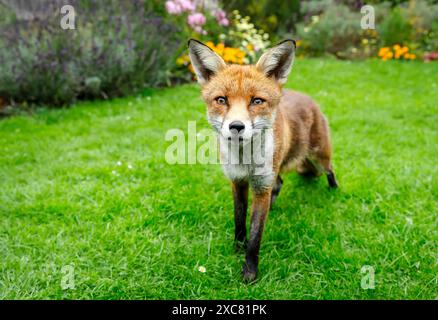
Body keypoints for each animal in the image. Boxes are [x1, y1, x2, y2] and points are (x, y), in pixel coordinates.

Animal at [188, 38, 338, 282]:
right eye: (221, 100)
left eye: (257, 101)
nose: (236, 126)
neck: (245, 162)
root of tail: (306, 97)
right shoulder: (238, 182)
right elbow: (240, 221)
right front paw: (237, 249)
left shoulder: (260, 187)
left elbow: (256, 234)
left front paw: (250, 272)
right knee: (280, 183)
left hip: (318, 156)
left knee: (330, 170)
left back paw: (334, 191)